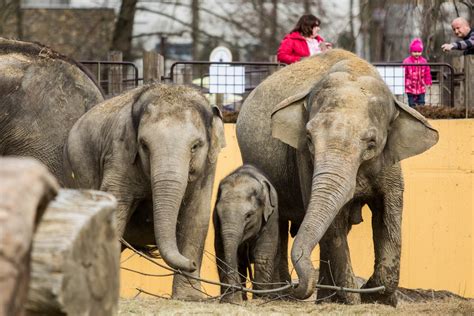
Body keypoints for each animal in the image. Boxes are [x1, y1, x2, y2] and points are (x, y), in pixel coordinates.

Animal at [64, 83, 226, 298]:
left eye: (195, 146)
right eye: (144, 145)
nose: (191, 264)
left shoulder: (207, 169)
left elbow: (196, 217)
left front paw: (191, 298)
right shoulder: (119, 152)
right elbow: (116, 205)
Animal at [213, 164, 280, 302]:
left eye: (249, 215)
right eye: (218, 214)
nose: (234, 291)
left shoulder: (272, 217)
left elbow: (263, 256)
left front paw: (260, 299)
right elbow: (222, 254)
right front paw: (230, 300)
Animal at [235, 50, 438, 306]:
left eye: (371, 143)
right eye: (309, 138)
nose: (298, 286)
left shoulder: (390, 160)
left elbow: (387, 212)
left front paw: (377, 295)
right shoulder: (304, 159)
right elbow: (335, 224)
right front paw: (355, 298)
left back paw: (322, 298)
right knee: (280, 225)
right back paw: (282, 296)